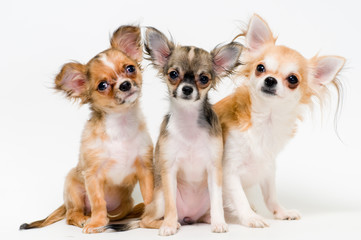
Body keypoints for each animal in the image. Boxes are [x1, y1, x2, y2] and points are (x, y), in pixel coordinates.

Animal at [20, 25, 153, 233]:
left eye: (130, 68)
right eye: (102, 85)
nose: (125, 84)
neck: (121, 125)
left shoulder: (145, 168)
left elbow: (150, 195)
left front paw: (154, 214)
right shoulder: (93, 175)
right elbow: (98, 202)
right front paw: (96, 223)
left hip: (125, 204)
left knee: (121, 213)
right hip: (73, 188)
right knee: (71, 214)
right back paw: (84, 219)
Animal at [105, 27, 243, 235]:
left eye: (204, 79)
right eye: (173, 74)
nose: (187, 89)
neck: (188, 122)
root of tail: (188, 217)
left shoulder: (214, 169)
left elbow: (217, 201)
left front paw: (219, 223)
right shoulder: (169, 170)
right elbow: (171, 205)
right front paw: (168, 225)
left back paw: (207, 219)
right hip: (160, 197)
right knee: (146, 220)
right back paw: (168, 223)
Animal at [212, 14, 344, 228]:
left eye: (293, 79)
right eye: (260, 68)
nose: (270, 80)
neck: (266, 120)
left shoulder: (268, 167)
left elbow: (270, 196)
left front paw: (280, 212)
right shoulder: (229, 170)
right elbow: (239, 197)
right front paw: (250, 217)